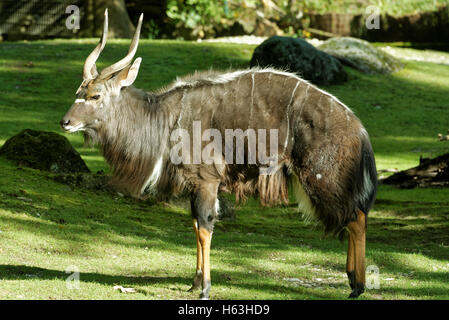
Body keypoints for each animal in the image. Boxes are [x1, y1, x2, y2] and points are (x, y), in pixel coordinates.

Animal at [59, 10, 374, 300]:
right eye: (78, 91)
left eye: (96, 96)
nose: (65, 122)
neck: (163, 118)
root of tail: (359, 129)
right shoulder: (194, 185)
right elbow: (195, 224)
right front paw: (194, 282)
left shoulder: (207, 180)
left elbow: (205, 226)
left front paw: (206, 288)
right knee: (352, 216)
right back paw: (351, 279)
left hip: (322, 178)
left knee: (356, 216)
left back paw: (357, 286)